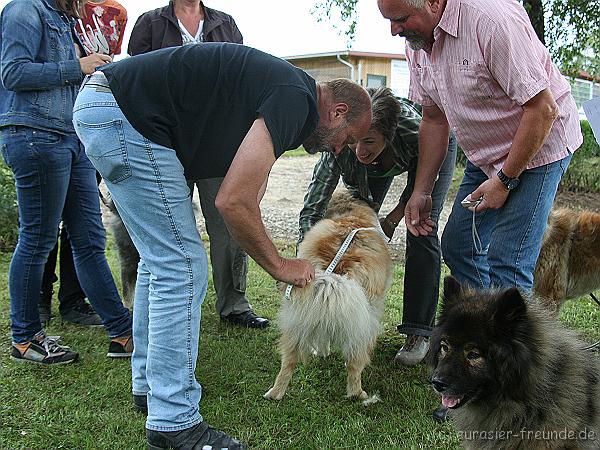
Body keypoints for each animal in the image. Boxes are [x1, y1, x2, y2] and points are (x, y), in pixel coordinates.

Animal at [264, 192, 392, 400]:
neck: (350, 213)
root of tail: (337, 275)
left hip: (297, 321)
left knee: (288, 362)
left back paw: (275, 393)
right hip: (366, 326)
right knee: (355, 364)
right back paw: (359, 394)